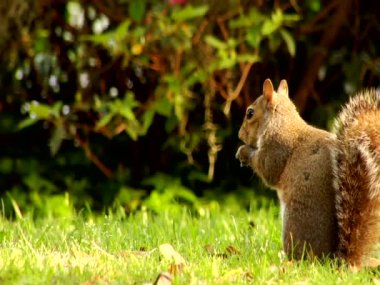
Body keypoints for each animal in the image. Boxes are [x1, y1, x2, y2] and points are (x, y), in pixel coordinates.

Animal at [236, 78, 378, 266]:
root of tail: (331, 259)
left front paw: (242, 151)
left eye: (250, 113)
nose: (240, 135)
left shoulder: (276, 149)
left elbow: (267, 171)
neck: (282, 122)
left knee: (298, 257)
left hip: (294, 222)